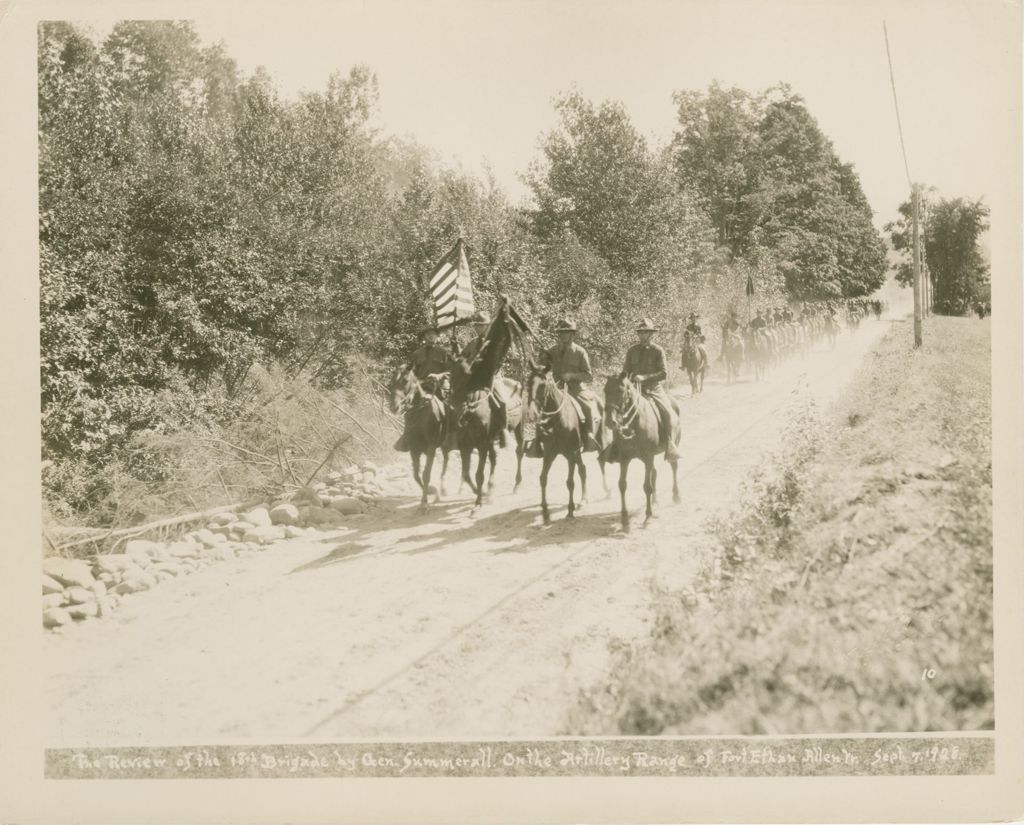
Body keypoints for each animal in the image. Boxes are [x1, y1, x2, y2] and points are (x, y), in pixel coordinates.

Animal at [389, 368, 450, 509]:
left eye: (405, 381)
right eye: (392, 381)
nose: (394, 407)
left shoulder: (431, 449)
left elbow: (426, 474)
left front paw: (424, 503)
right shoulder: (414, 450)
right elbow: (416, 475)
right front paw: (430, 490)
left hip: (444, 446)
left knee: (445, 462)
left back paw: (443, 489)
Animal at [528, 366, 606, 524]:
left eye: (543, 385)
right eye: (528, 383)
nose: (532, 413)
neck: (556, 421)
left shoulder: (572, 453)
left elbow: (570, 482)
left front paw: (570, 511)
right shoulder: (549, 454)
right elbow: (543, 478)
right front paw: (545, 513)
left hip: (597, 442)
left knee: (601, 461)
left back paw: (607, 490)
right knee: (583, 469)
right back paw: (583, 500)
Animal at [598, 376, 679, 532]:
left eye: (620, 391)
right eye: (605, 390)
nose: (610, 421)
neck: (634, 424)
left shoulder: (648, 457)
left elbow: (647, 486)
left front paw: (648, 517)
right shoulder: (625, 459)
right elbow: (622, 484)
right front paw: (624, 520)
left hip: (672, 446)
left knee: (674, 467)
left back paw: (676, 496)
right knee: (654, 473)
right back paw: (655, 502)